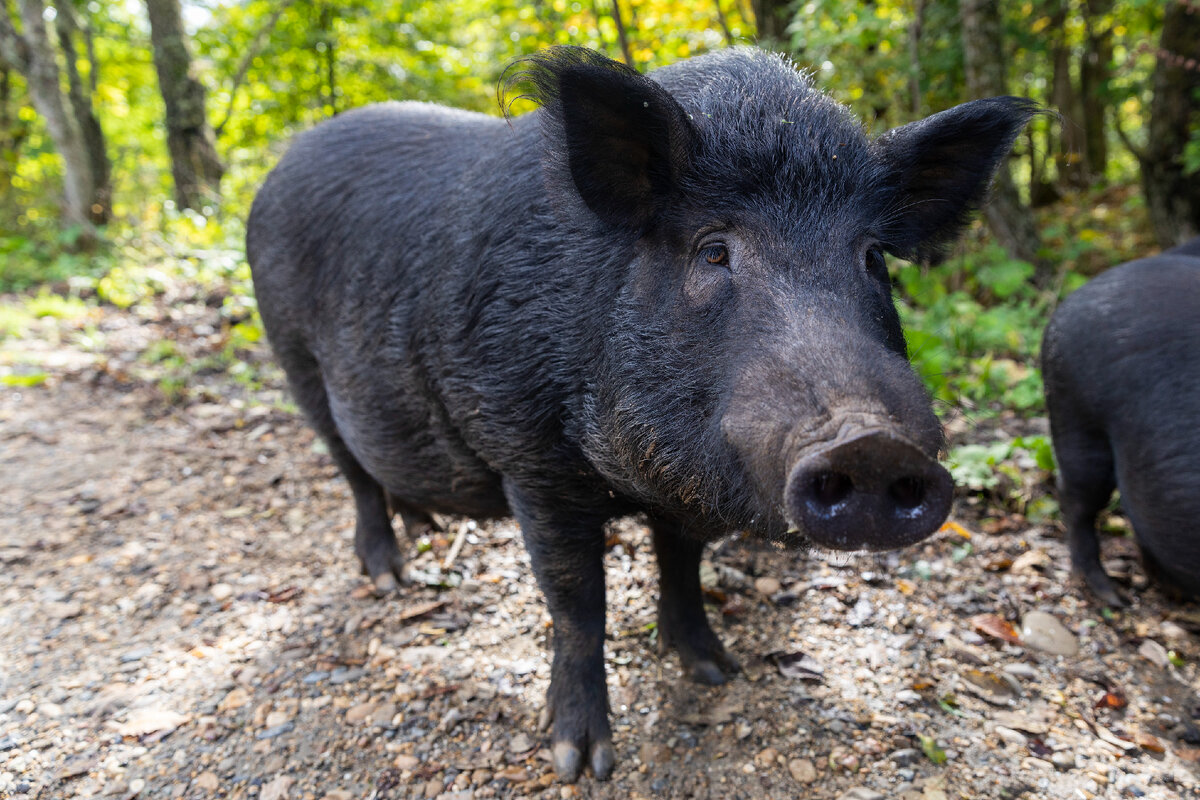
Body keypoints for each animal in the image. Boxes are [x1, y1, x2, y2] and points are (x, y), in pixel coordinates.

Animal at [248, 45, 1036, 782]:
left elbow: (682, 568)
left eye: (873, 257)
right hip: (293, 360)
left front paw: (716, 670)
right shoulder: (529, 459)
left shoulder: (682, 485)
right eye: (713, 251)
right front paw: (581, 763)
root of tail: (279, 166)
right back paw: (391, 577)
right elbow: (577, 603)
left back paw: (428, 529)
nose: (871, 443)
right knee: (351, 471)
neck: (630, 475)